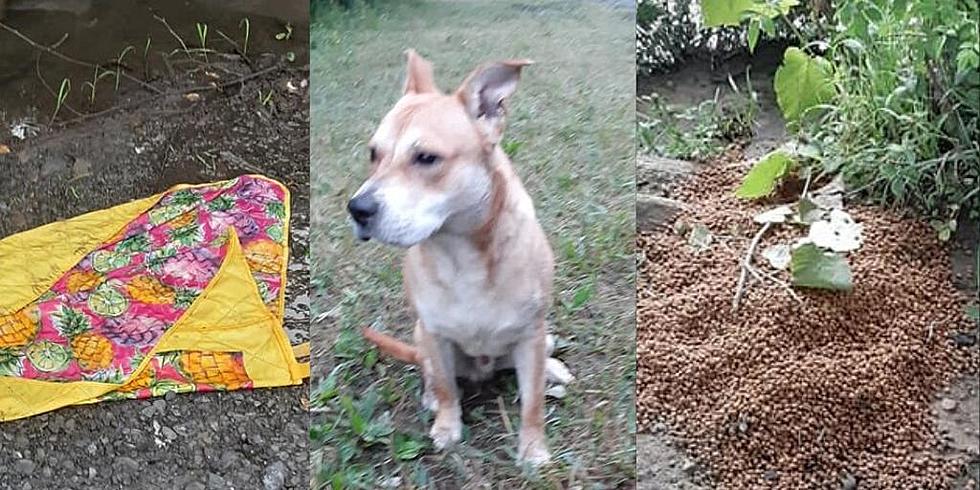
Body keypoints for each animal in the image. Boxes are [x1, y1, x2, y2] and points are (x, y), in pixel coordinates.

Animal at [350, 50, 576, 468]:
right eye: (373, 154)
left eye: (426, 158)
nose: (357, 209)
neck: (462, 253)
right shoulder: (434, 334)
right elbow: (446, 388)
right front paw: (447, 424)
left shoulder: (532, 332)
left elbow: (532, 404)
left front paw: (533, 448)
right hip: (420, 336)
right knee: (431, 371)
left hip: (542, 337)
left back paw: (551, 369)